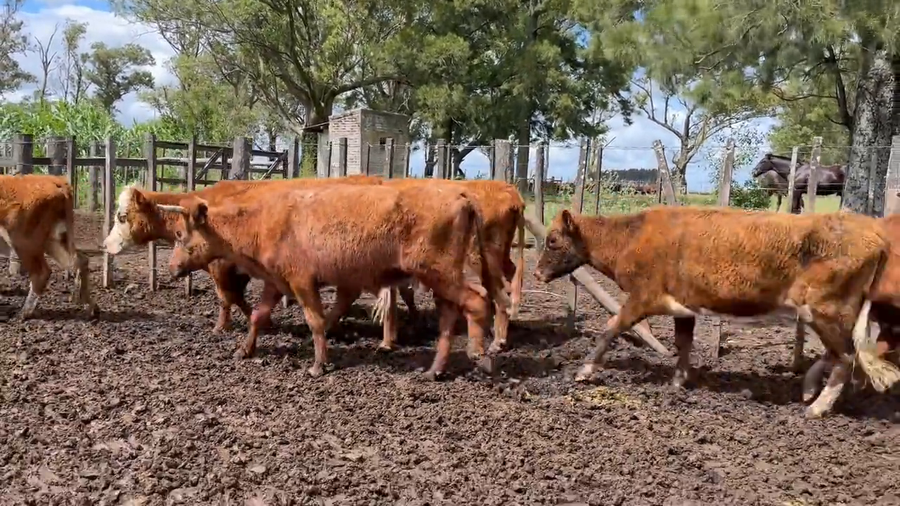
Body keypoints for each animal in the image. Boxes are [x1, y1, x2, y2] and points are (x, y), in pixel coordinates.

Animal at [0, 174, 97, 319]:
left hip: (23, 242)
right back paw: (91, 308)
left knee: (41, 272)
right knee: (79, 261)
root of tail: (55, 180)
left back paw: (24, 313)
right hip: (53, 240)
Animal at [103, 175, 385, 332]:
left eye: (122, 216)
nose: (105, 244)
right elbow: (236, 296)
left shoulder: (221, 267)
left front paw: (223, 326)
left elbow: (227, 298)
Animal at [160, 183, 498, 379]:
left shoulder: (302, 282)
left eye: (179, 234)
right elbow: (258, 315)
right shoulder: (276, 282)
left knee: (477, 300)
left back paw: (480, 355)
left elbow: (316, 321)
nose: (172, 267)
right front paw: (244, 350)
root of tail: (461, 196)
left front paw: (318, 364)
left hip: (438, 271)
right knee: (450, 315)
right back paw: (434, 370)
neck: (261, 221)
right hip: (441, 277)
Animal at [533, 205, 900, 418]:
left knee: (846, 357)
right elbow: (684, 342)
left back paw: (818, 407)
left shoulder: (644, 297)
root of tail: (874, 236)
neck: (633, 236)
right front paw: (679, 381)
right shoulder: (682, 305)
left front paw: (585, 371)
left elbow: (611, 326)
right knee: (841, 354)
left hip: (825, 309)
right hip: (831, 314)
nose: (536, 273)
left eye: (552, 240)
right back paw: (811, 391)